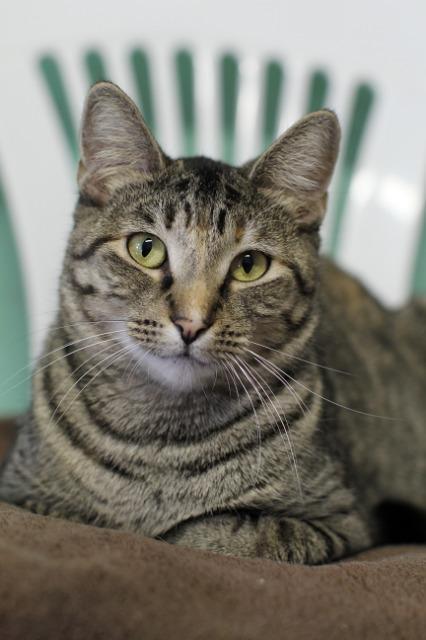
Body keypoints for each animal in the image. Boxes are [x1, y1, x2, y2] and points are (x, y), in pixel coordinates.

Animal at [1, 81, 424, 564]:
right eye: (146, 248)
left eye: (250, 265)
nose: (191, 322)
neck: (161, 446)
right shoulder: (21, 492)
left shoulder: (338, 520)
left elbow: (210, 531)